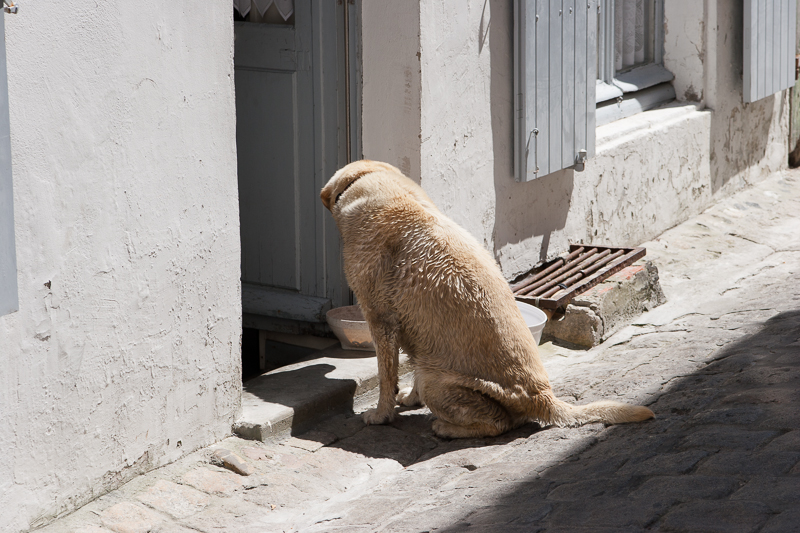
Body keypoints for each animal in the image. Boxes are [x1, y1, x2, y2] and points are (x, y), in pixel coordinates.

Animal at [320, 159, 656, 436]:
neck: (376, 182)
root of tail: (543, 398)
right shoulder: (415, 334)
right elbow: (406, 369)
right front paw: (409, 400)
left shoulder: (380, 321)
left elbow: (386, 376)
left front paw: (381, 414)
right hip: (432, 367)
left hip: (435, 380)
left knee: (498, 424)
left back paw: (445, 428)